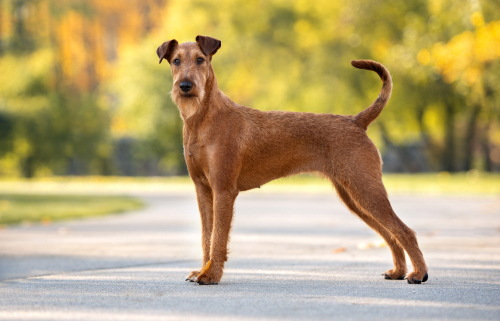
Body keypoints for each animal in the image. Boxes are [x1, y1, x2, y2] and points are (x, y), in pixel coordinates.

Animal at [157, 35, 430, 284]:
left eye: (200, 60)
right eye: (176, 60)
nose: (185, 85)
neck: (202, 120)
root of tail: (355, 121)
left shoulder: (224, 190)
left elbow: (218, 239)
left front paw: (211, 275)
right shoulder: (203, 190)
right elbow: (206, 237)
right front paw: (202, 270)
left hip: (365, 189)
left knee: (405, 231)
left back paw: (418, 274)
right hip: (354, 196)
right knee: (390, 233)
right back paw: (397, 272)